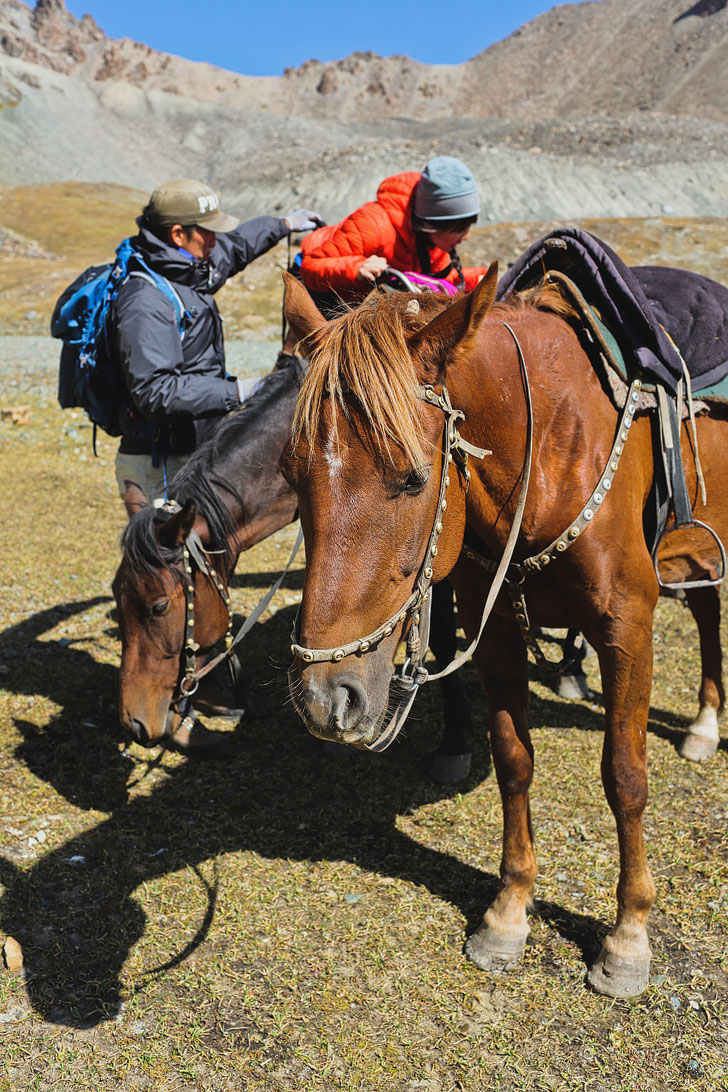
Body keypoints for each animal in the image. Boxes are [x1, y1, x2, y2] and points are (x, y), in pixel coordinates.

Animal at [283, 266, 728, 1000]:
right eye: (292, 477)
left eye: (414, 479)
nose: (327, 699)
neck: (547, 446)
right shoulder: (490, 625)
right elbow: (514, 760)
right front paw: (509, 912)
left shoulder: (627, 625)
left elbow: (625, 775)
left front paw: (628, 936)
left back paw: (704, 724)